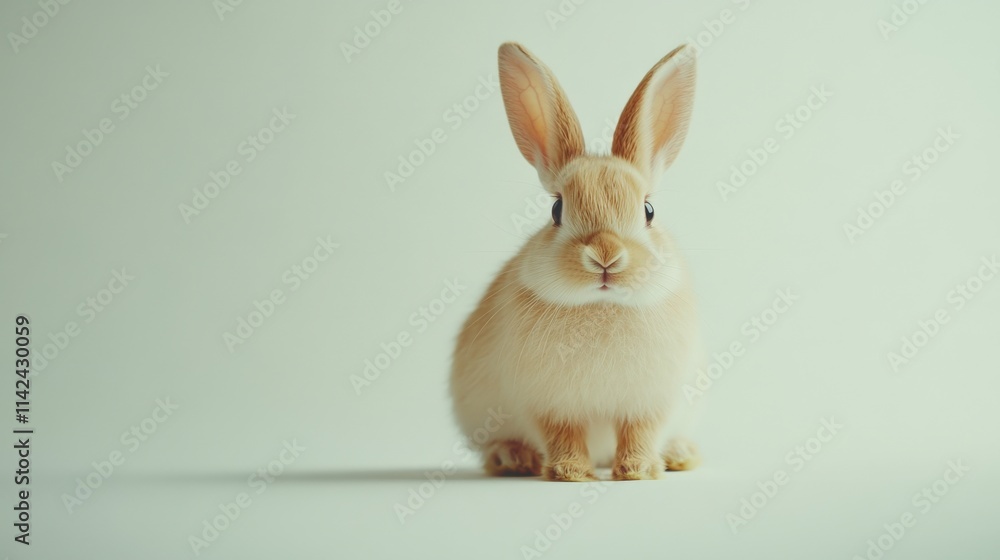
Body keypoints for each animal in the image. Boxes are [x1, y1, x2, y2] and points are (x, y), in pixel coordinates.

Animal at [450, 42, 703, 481]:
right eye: (556, 210)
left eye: (649, 210)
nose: (606, 256)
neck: (601, 305)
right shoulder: (550, 405)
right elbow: (563, 435)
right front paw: (570, 473)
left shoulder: (648, 404)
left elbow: (639, 432)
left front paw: (637, 471)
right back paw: (512, 458)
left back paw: (679, 455)